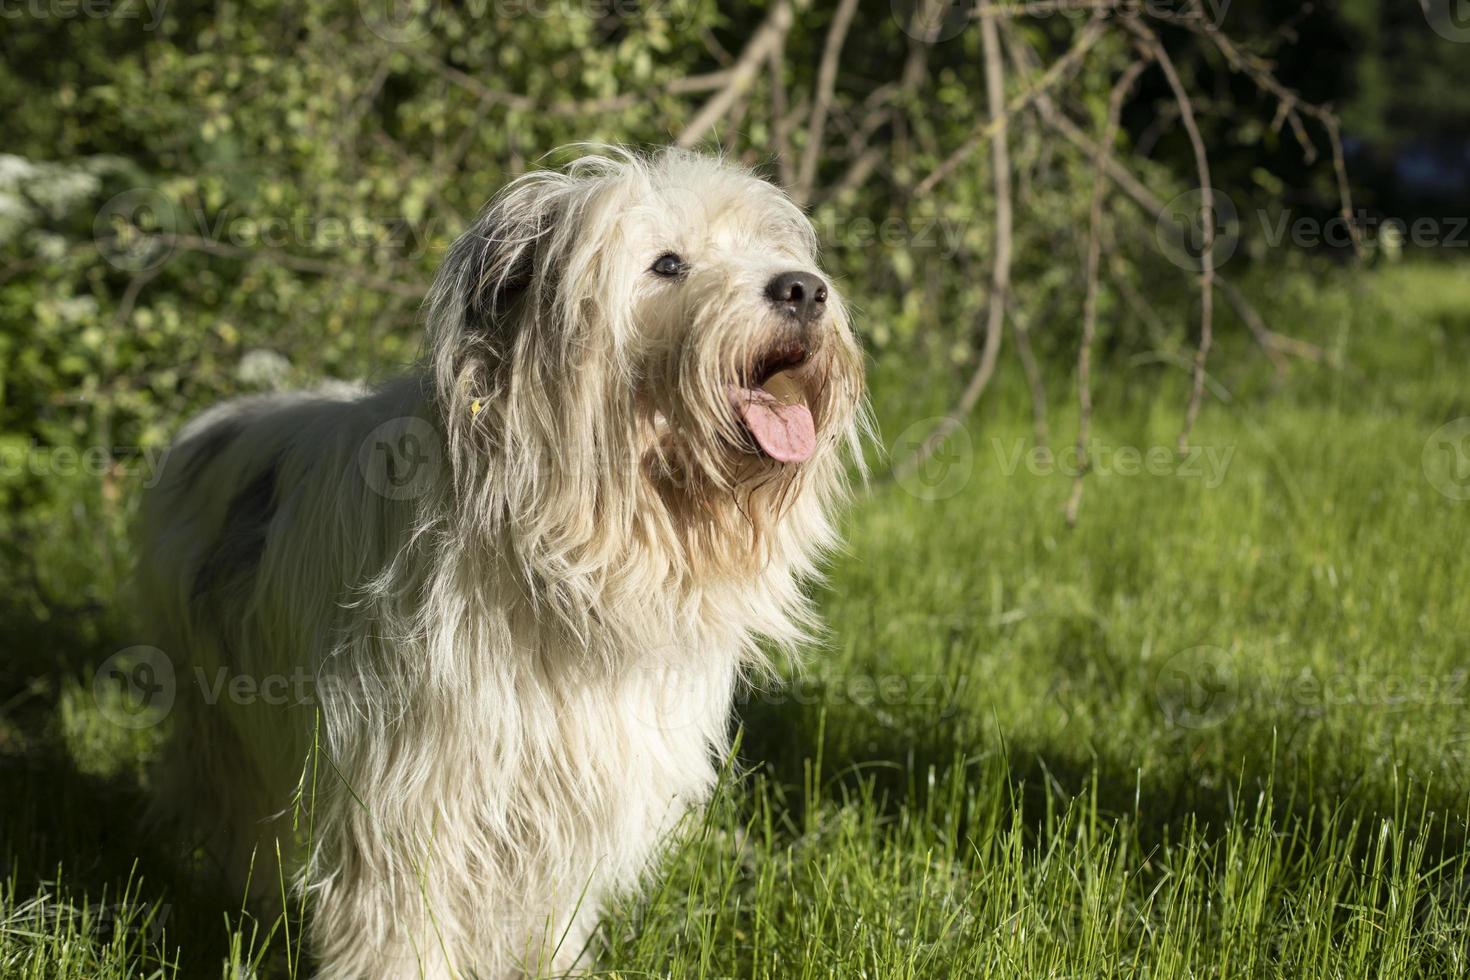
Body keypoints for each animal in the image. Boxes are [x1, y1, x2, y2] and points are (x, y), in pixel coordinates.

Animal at [136, 147, 858, 980]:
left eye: (768, 251)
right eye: (668, 264)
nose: (803, 289)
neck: (579, 556)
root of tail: (214, 421)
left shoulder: (573, 790)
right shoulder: (409, 790)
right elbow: (398, 921)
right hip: (221, 712)